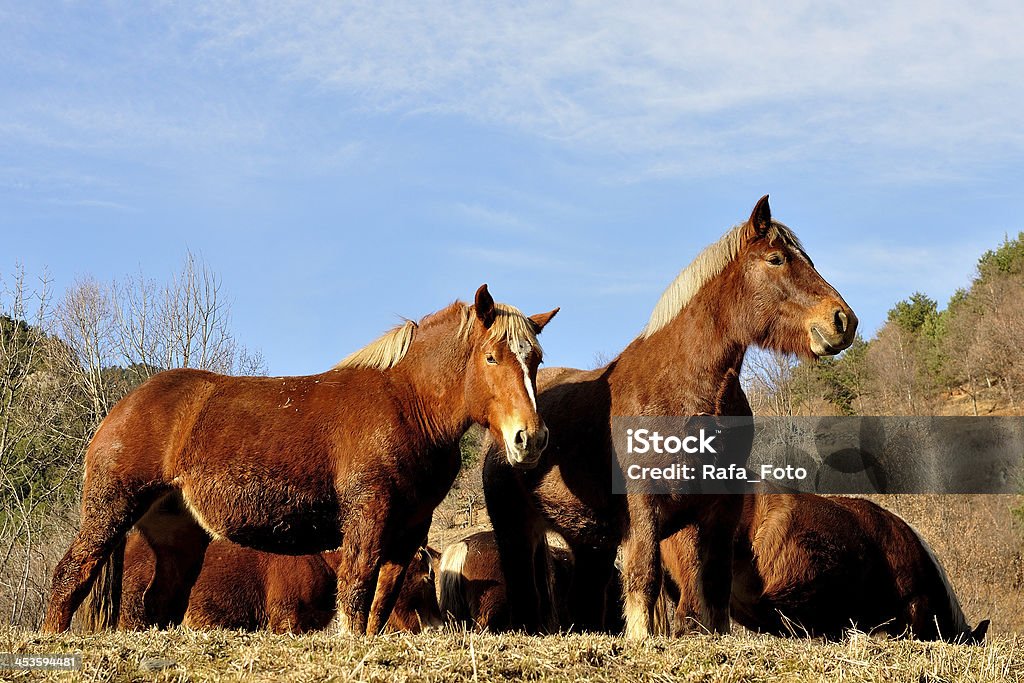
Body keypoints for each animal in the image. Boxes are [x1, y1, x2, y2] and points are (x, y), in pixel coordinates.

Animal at [479, 197, 856, 643]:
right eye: (776, 259)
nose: (842, 321)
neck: (682, 389)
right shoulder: (644, 509)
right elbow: (645, 576)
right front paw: (641, 638)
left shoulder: (718, 512)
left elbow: (713, 585)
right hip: (516, 529)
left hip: (589, 542)